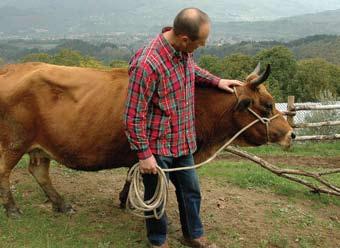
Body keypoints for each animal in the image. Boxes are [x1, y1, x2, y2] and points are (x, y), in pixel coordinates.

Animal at [0, 62, 294, 217]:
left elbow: (133, 175)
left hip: (40, 146)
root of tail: (14, 67)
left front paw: (125, 199)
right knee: (5, 171)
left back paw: (61, 203)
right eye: (268, 105)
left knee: (39, 171)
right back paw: (12, 208)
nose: (291, 132)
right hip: (15, 142)